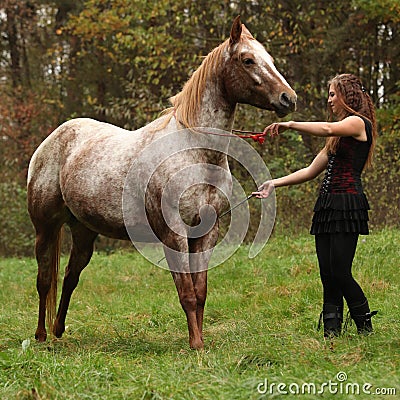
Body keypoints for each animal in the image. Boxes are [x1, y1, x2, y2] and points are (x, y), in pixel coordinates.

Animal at [27, 15, 296, 348]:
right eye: (247, 60)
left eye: (269, 58)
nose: (288, 99)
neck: (195, 151)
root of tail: (52, 140)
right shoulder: (174, 234)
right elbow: (187, 294)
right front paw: (196, 346)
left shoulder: (206, 233)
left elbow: (200, 291)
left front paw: (200, 340)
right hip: (45, 227)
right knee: (44, 280)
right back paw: (41, 336)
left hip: (84, 232)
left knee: (69, 277)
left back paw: (58, 330)